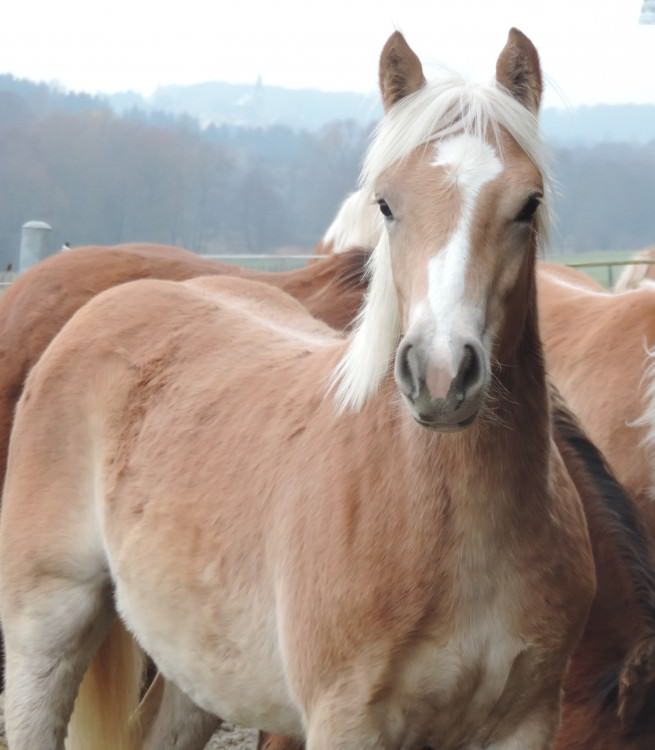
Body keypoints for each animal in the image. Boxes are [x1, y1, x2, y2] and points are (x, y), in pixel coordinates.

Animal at [0, 27, 596, 750]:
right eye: (386, 203)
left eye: (526, 205)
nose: (439, 374)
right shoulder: (346, 723)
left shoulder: (524, 722)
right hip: (47, 624)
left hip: (197, 668)